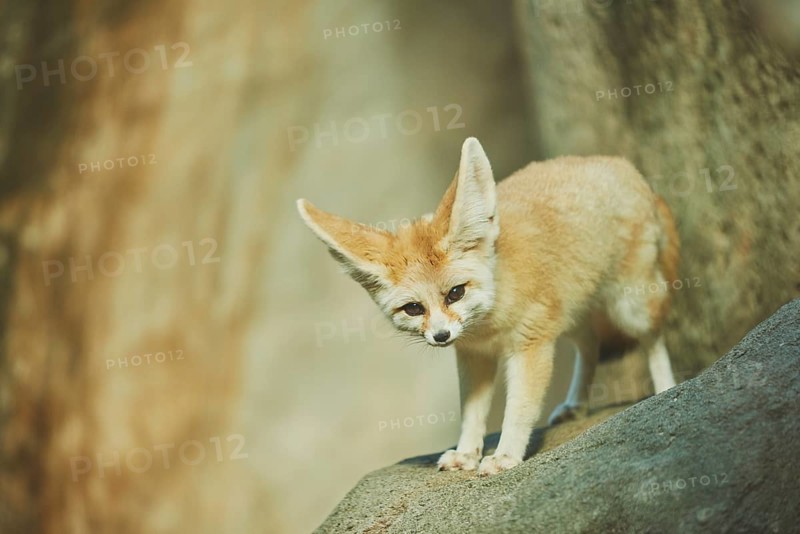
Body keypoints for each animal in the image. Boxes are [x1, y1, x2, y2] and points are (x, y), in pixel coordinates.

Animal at [296, 137, 679, 476]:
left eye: (455, 293)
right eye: (413, 309)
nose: (440, 336)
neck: (489, 324)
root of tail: (620, 164)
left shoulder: (530, 346)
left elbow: (519, 408)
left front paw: (506, 454)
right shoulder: (473, 355)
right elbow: (472, 412)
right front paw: (467, 453)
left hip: (630, 307)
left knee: (652, 339)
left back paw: (667, 389)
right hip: (572, 312)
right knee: (591, 344)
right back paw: (576, 404)